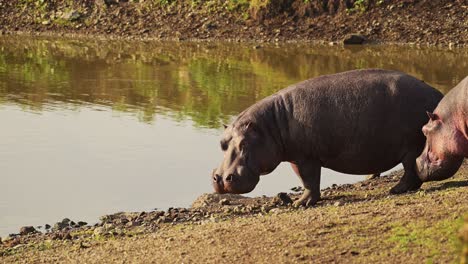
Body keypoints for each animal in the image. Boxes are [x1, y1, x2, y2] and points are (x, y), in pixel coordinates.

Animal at [212, 68, 442, 206]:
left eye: (244, 143)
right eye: (222, 143)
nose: (221, 179)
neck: (270, 124)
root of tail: (437, 93)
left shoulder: (306, 158)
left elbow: (309, 180)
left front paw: (300, 203)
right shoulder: (296, 158)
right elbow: (305, 180)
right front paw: (301, 202)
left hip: (411, 147)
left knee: (411, 171)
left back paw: (395, 190)